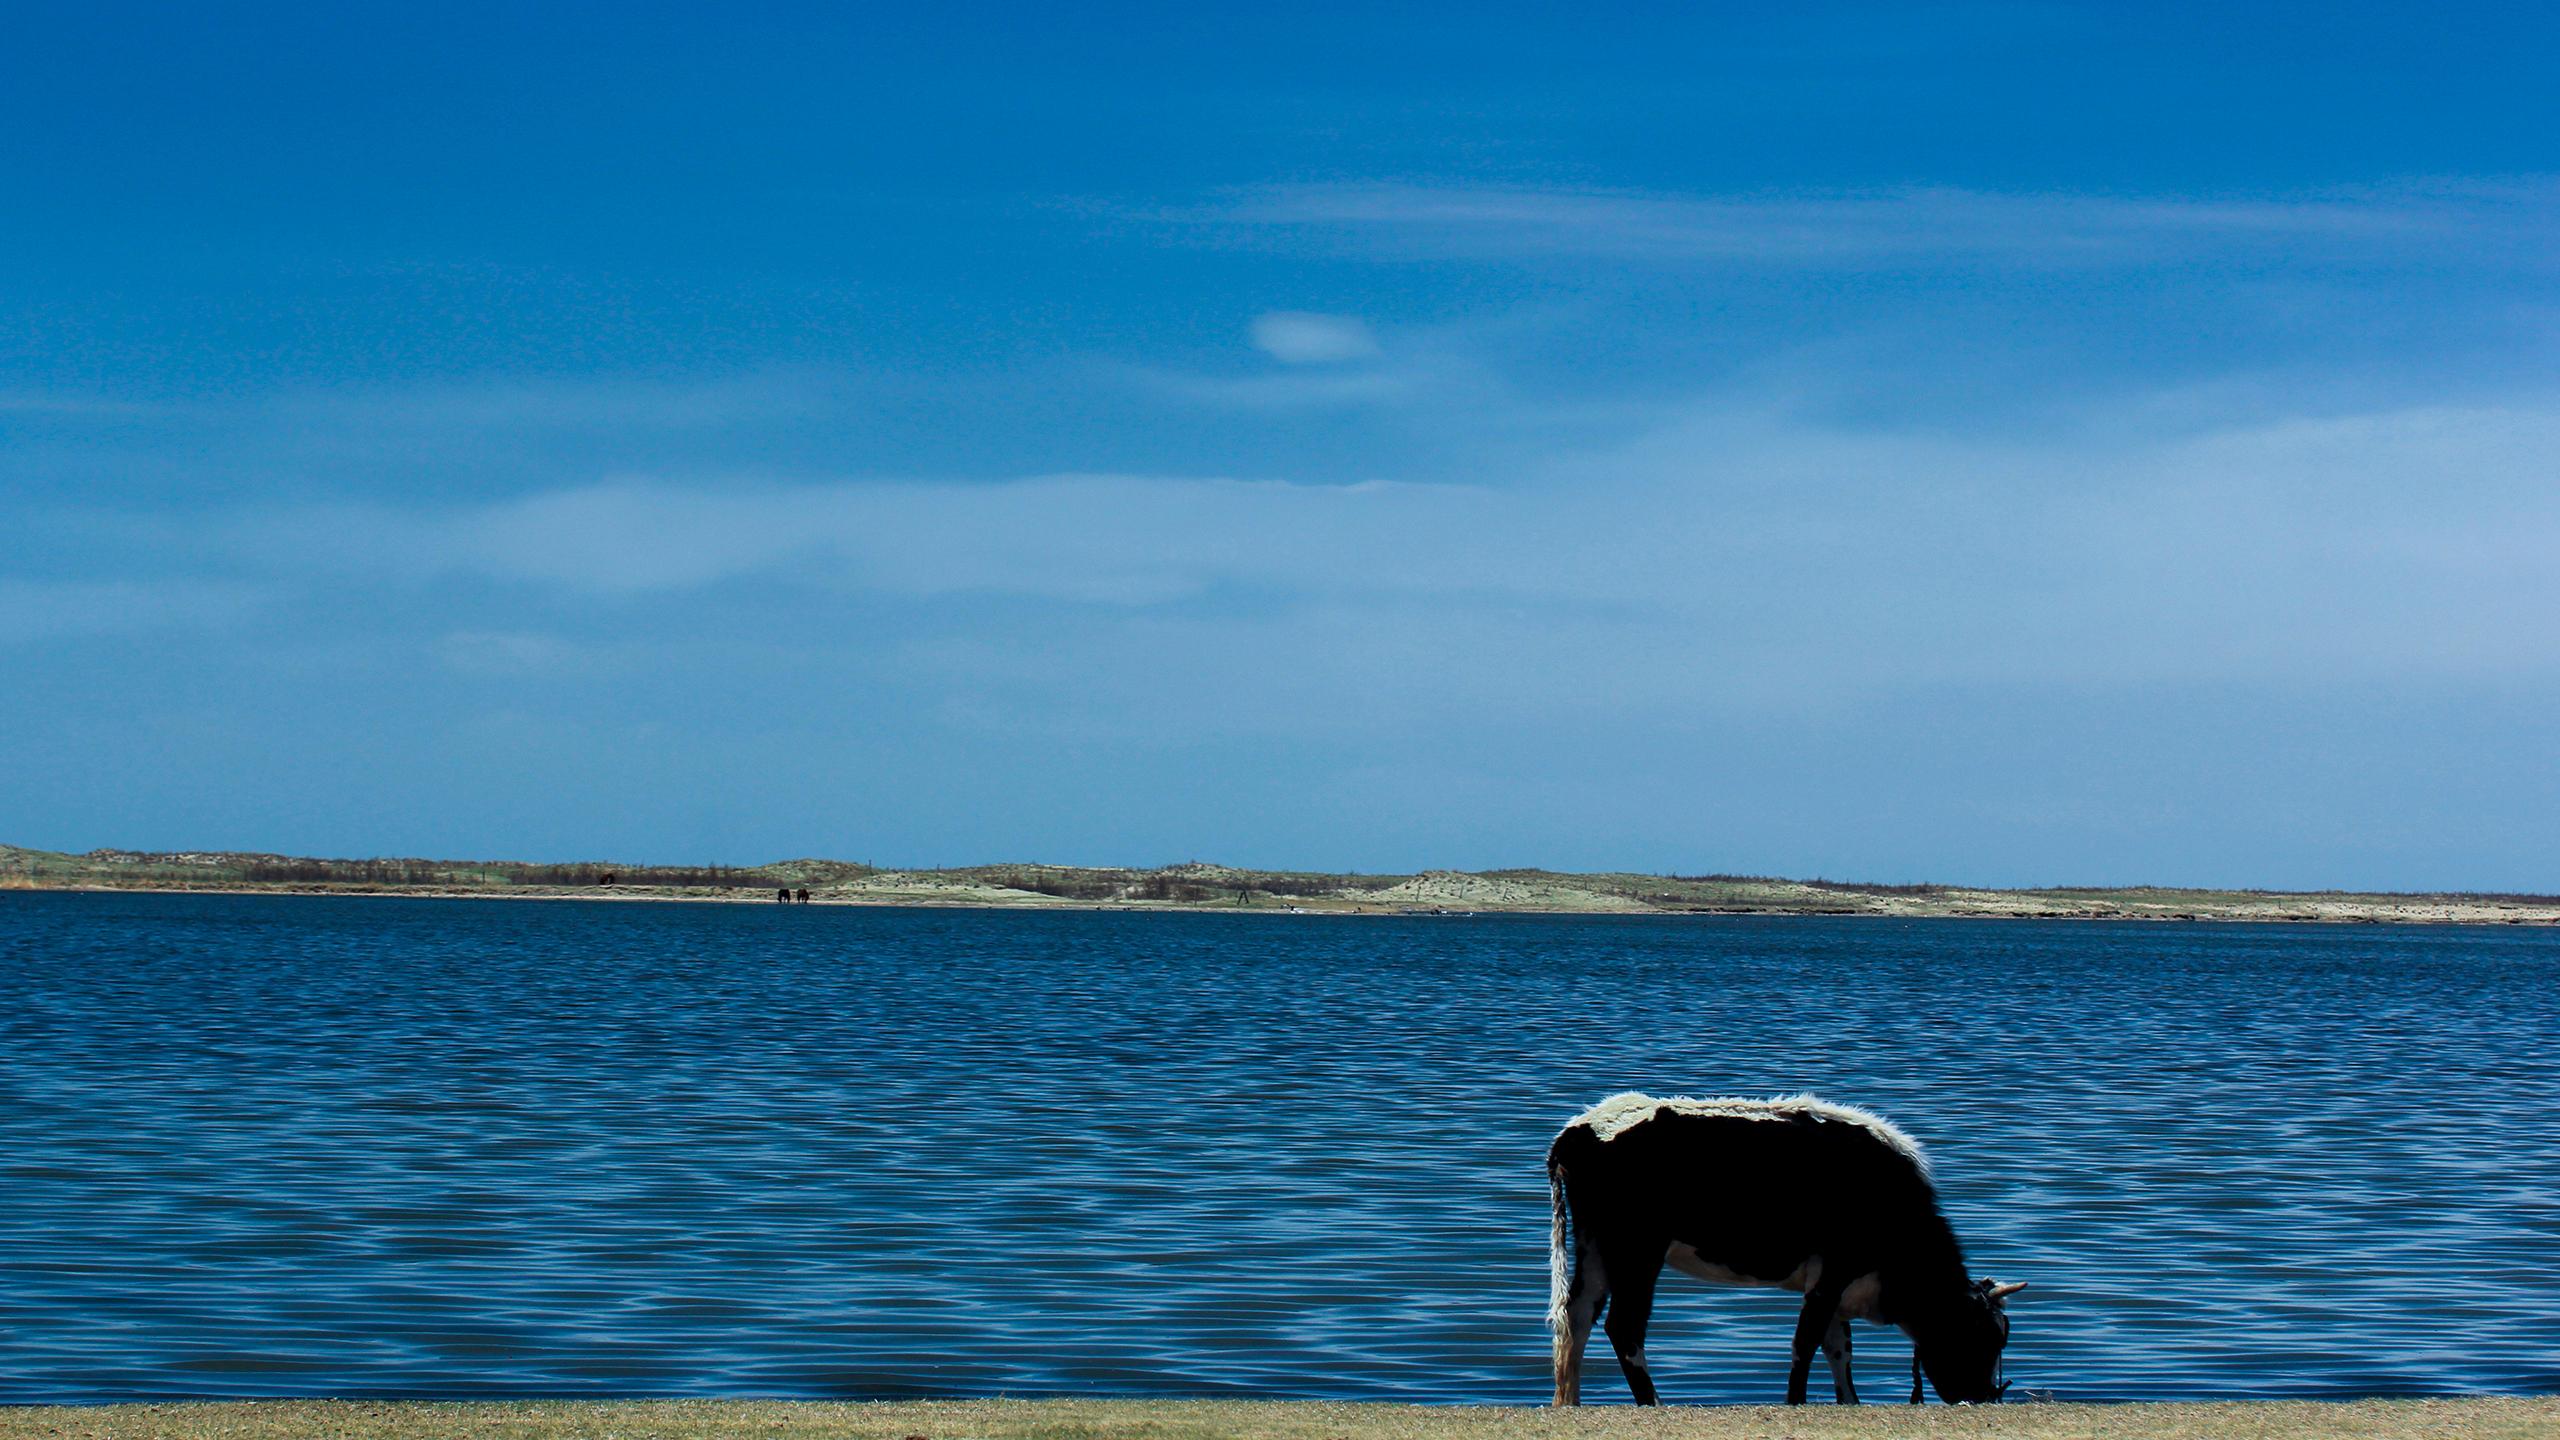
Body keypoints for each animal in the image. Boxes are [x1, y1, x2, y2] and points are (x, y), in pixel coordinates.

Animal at [1536, 1086, 2017, 1404]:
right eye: (1979, 1336)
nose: (1982, 1397)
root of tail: (1583, 1126)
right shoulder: (1835, 1269)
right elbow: (1805, 1343)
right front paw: (1797, 1403)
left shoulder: (1832, 1284)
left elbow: (1837, 1349)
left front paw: (1849, 1404)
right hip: (1637, 1250)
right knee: (1624, 1326)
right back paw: (1652, 1403)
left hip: (1596, 1247)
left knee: (1577, 1315)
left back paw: (1569, 1402)